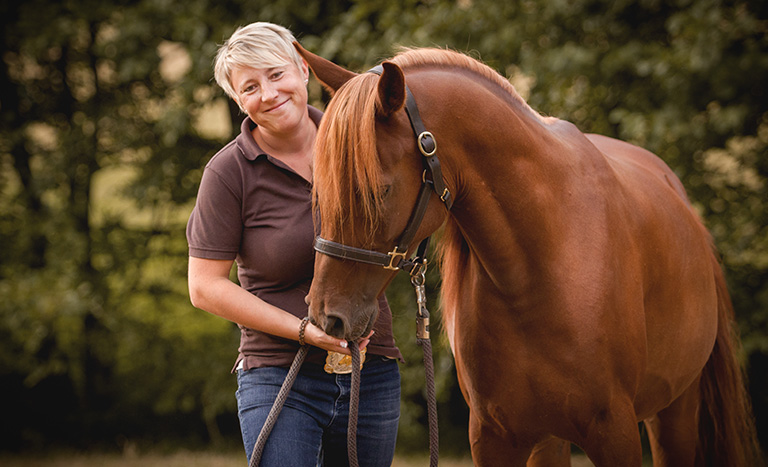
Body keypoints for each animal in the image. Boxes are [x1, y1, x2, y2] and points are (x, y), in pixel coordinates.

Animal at [296, 43, 760, 464]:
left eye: (381, 190)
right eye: (320, 189)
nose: (327, 317)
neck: (537, 269)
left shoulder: (615, 431)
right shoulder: (495, 436)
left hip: (675, 412)